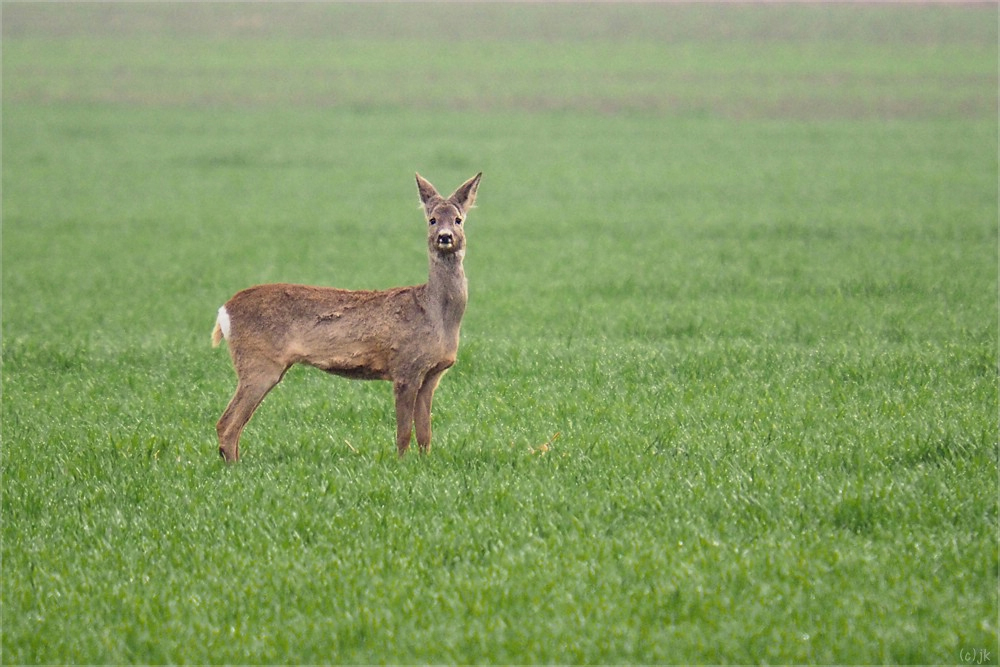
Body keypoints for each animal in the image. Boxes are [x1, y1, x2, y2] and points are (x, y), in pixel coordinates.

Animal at [209, 172, 482, 462]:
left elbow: (425, 434)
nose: (445, 236)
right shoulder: (405, 368)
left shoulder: (431, 374)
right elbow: (404, 433)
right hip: (258, 363)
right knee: (227, 423)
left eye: (458, 219)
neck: (435, 313)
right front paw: (401, 464)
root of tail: (224, 311)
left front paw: (424, 463)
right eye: (432, 219)